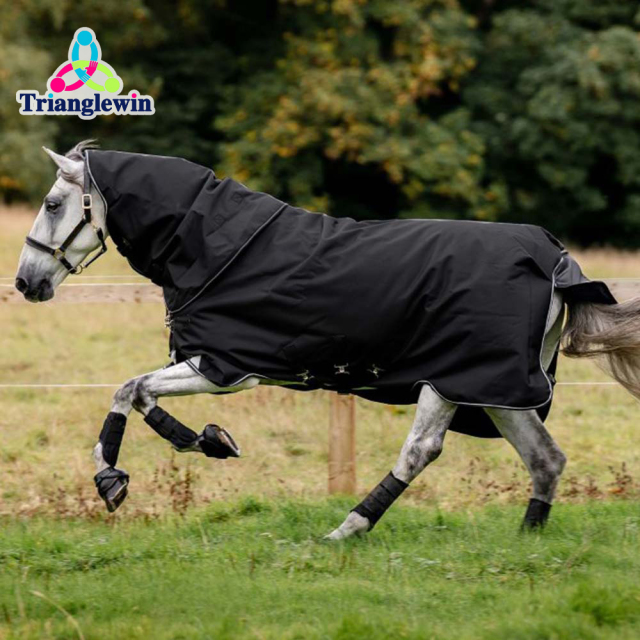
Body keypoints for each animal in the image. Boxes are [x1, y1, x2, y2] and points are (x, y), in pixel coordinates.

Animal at [15, 141, 637, 540]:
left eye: (52, 204)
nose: (26, 282)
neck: (214, 246)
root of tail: (557, 261)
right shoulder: (212, 366)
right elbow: (142, 394)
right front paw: (213, 442)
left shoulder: (222, 368)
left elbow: (128, 389)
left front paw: (110, 481)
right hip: (494, 389)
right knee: (546, 459)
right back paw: (527, 538)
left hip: (451, 381)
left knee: (421, 451)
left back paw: (348, 528)